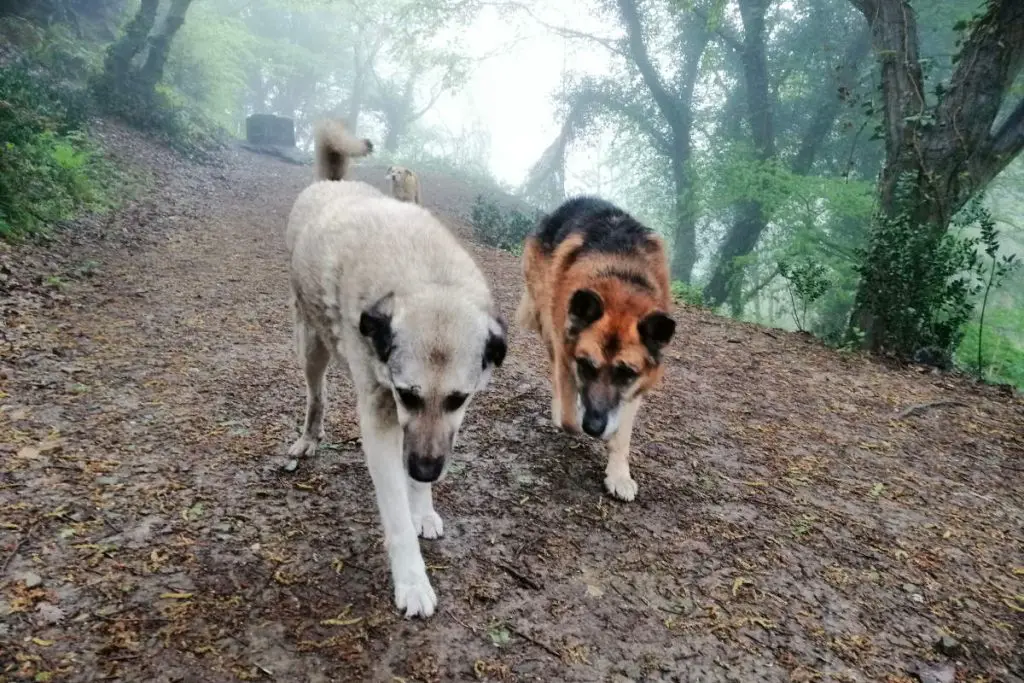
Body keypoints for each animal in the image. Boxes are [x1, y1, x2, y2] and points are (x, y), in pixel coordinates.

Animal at [284, 120, 507, 618]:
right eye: (407, 394)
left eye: (459, 399)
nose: (425, 471)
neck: (427, 277)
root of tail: (331, 184)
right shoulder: (383, 420)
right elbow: (398, 519)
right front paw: (412, 580)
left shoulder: (435, 429)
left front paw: (422, 506)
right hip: (312, 347)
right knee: (316, 396)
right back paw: (309, 437)